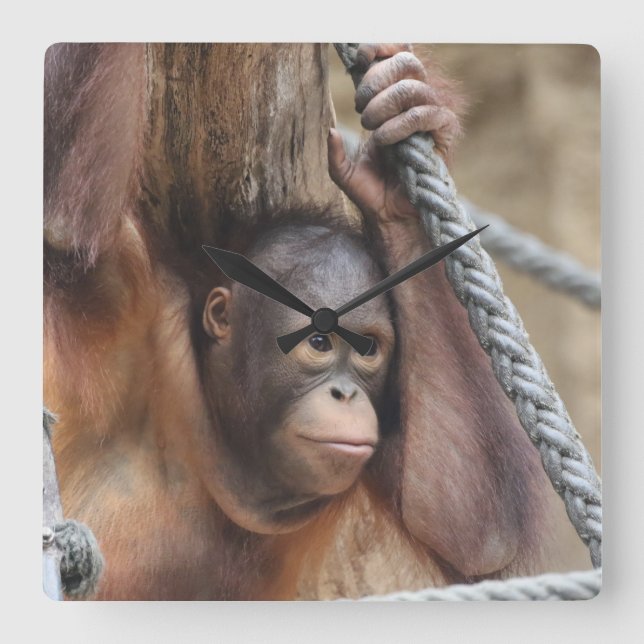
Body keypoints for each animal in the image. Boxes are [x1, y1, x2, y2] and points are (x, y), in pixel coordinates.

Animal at [44, 43, 554, 599]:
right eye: (319, 342)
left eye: (368, 349)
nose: (345, 394)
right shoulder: (129, 295)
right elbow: (63, 228)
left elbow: (474, 528)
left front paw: (399, 145)